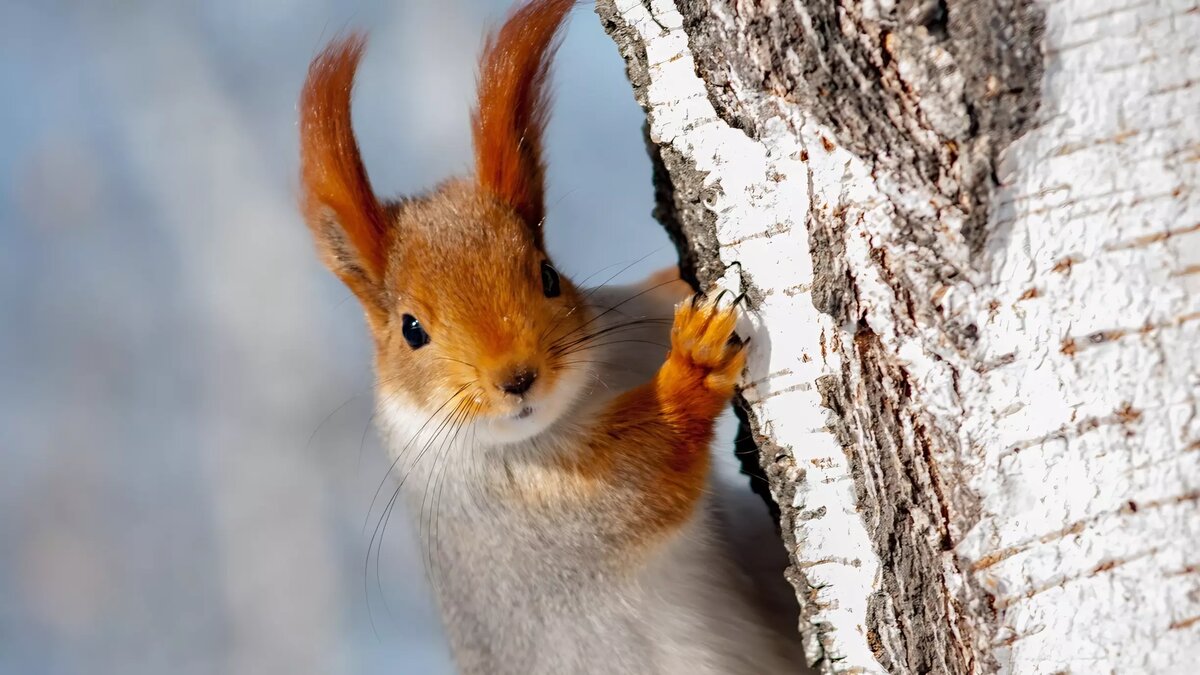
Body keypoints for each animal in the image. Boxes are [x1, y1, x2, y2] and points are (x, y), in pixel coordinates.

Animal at [295, 1, 801, 672]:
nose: (517, 378)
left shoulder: (627, 330)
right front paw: (692, 365)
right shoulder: (536, 520)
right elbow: (650, 478)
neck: (577, 405)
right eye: (411, 330)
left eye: (548, 275)